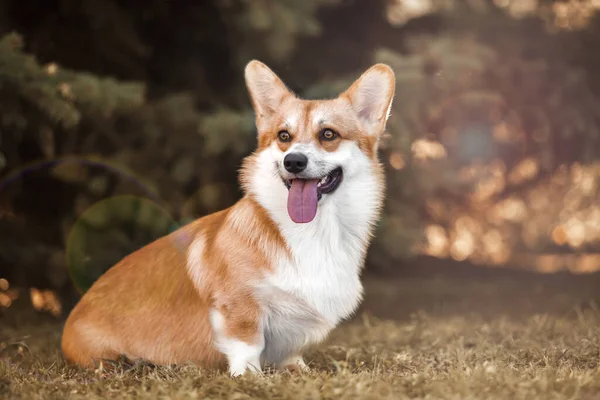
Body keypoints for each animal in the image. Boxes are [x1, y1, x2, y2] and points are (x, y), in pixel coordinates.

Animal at [62, 59, 394, 376]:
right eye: (283, 136)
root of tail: (68, 327)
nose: (294, 161)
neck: (314, 231)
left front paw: (298, 369)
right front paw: (248, 375)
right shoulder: (238, 304)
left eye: (328, 134)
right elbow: (247, 342)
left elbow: (291, 350)